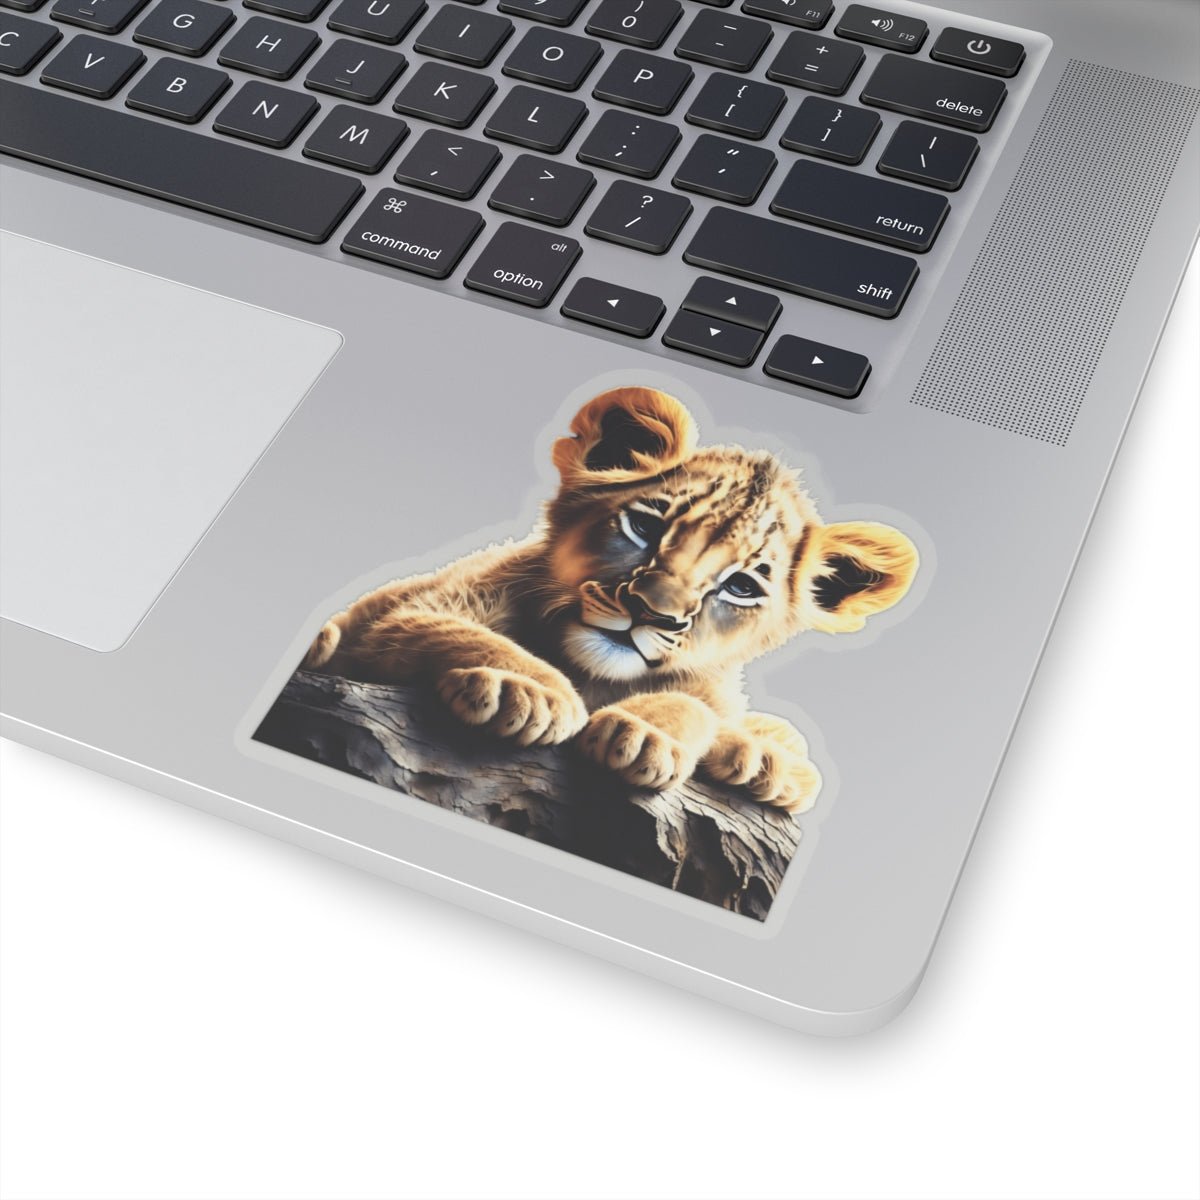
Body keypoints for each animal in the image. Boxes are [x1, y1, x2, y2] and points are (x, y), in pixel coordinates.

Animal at [302, 386, 919, 813]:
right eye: (646, 527)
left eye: (741, 586)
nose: (651, 612)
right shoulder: (420, 608)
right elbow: (457, 631)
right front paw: (527, 692)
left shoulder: (711, 689)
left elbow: (699, 707)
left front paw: (649, 737)